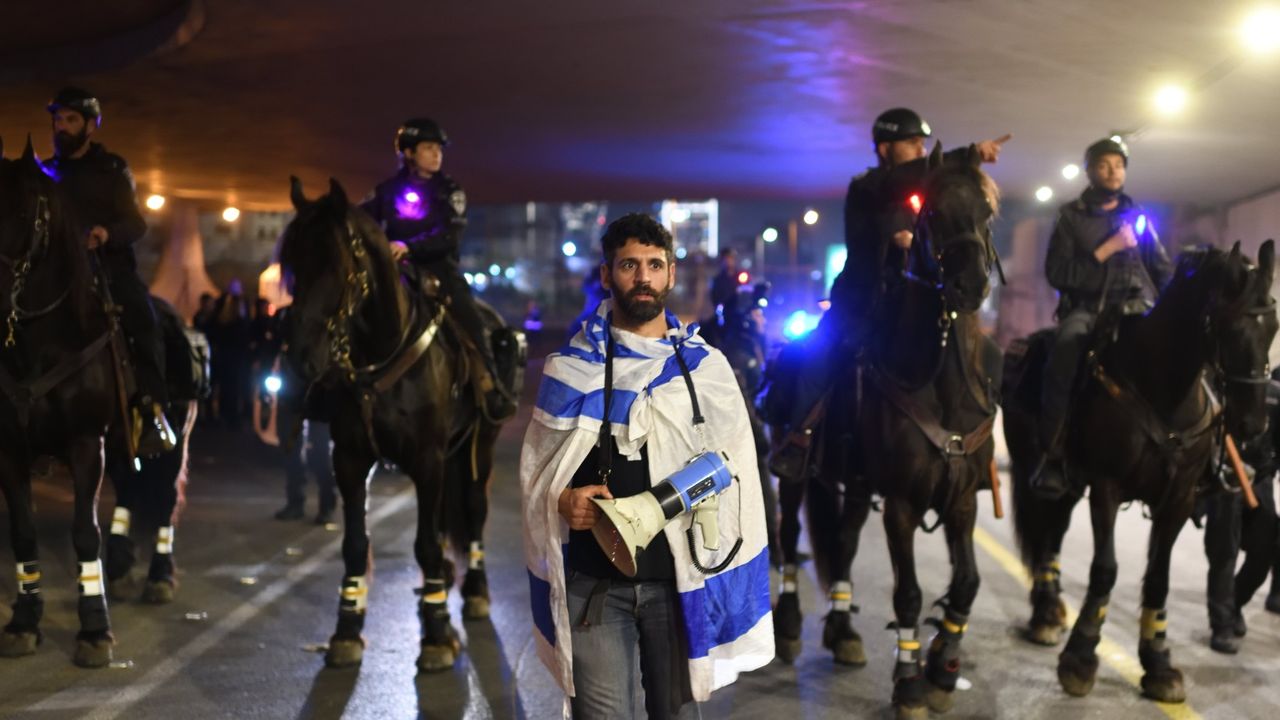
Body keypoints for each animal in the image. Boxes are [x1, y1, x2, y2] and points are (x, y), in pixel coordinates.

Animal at [277, 176, 522, 671]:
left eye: (335, 263)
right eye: (291, 262)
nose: (301, 356)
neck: (383, 352)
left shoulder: (427, 459)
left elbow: (425, 543)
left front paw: (437, 634)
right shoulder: (350, 460)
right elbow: (355, 544)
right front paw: (346, 629)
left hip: (479, 445)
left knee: (473, 510)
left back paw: (473, 590)